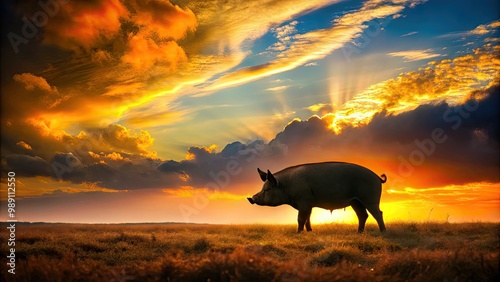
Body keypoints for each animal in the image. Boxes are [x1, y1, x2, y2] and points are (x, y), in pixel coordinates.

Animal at [247, 162, 386, 232]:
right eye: (263, 188)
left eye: (267, 189)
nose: (251, 198)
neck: (286, 185)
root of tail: (378, 177)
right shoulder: (308, 204)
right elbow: (308, 218)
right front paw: (309, 231)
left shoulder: (304, 202)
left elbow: (300, 219)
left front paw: (298, 232)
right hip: (355, 201)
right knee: (362, 215)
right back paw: (359, 232)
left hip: (370, 198)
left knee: (378, 213)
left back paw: (382, 231)